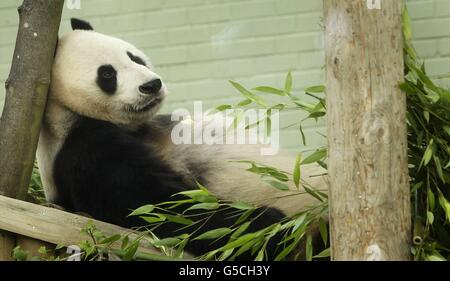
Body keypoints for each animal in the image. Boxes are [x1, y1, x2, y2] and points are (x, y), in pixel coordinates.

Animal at [34, 17, 324, 258]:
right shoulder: (85, 153)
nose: (151, 85)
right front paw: (272, 224)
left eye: (134, 58)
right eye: (107, 74)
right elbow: (164, 205)